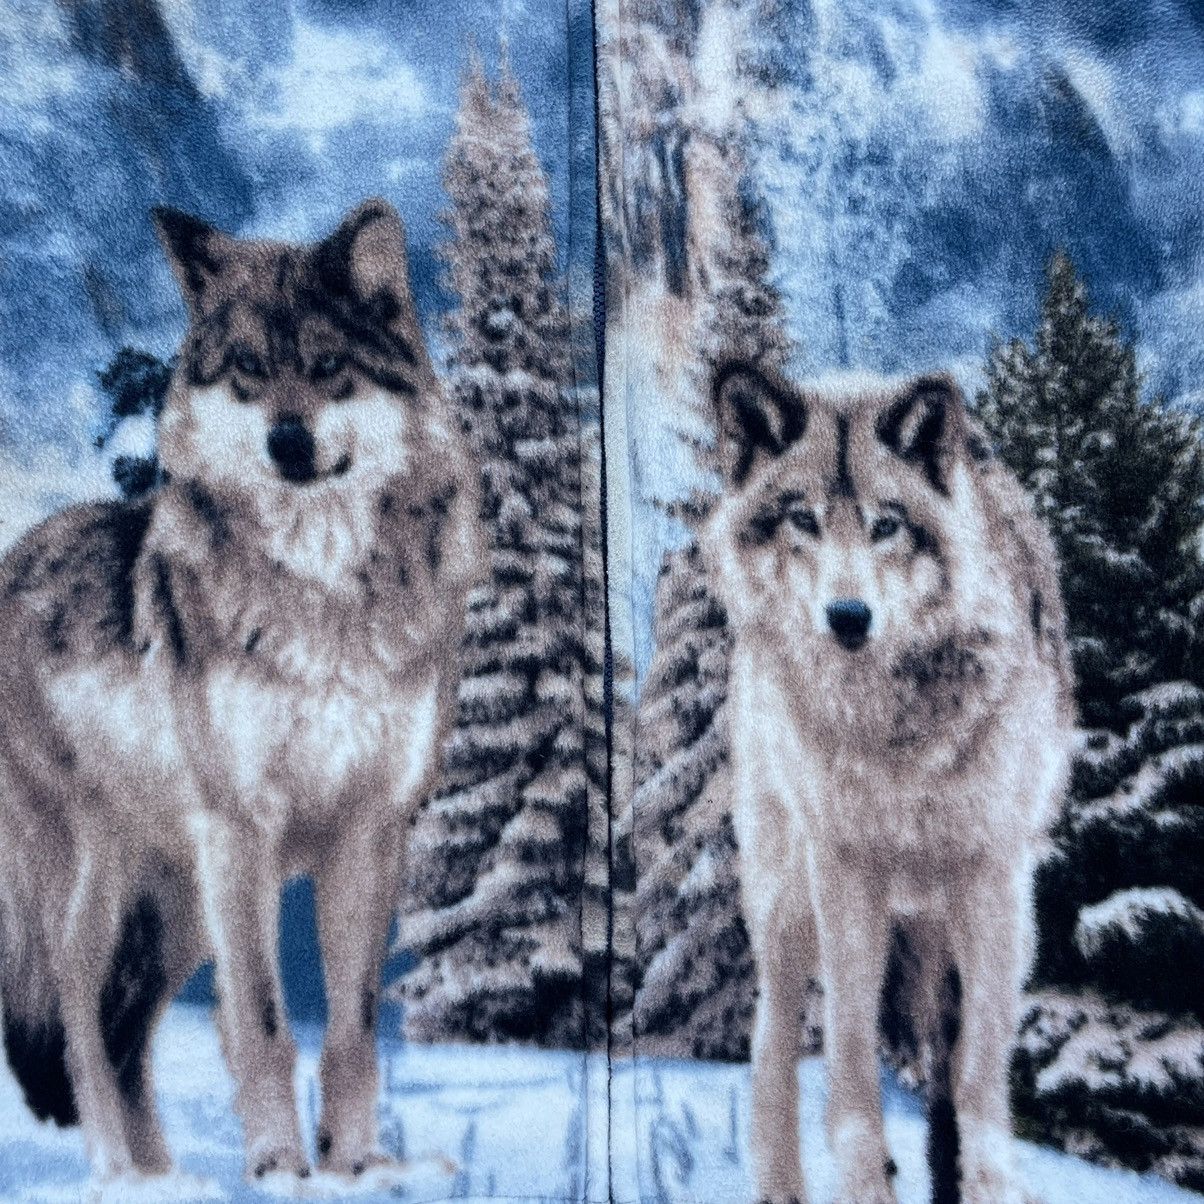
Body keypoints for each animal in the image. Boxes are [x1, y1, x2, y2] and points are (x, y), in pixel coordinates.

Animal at [0, 198, 482, 1184]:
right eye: (250, 372)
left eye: (329, 368)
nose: (287, 442)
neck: (323, 589)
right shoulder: (243, 831)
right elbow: (259, 1021)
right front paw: (279, 1169)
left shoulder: (369, 832)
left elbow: (352, 1026)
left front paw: (355, 1168)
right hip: (101, 882)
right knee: (74, 1011)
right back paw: (116, 1175)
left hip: (177, 910)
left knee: (125, 1035)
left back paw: (165, 1175)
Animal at [701, 363, 1075, 1204]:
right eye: (802, 520)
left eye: (886, 526)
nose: (848, 616)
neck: (898, 734)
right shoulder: (846, 871)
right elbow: (846, 1039)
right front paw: (865, 1176)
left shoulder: (994, 877)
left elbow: (979, 1064)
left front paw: (988, 1181)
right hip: (786, 896)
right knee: (774, 1033)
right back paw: (780, 1180)